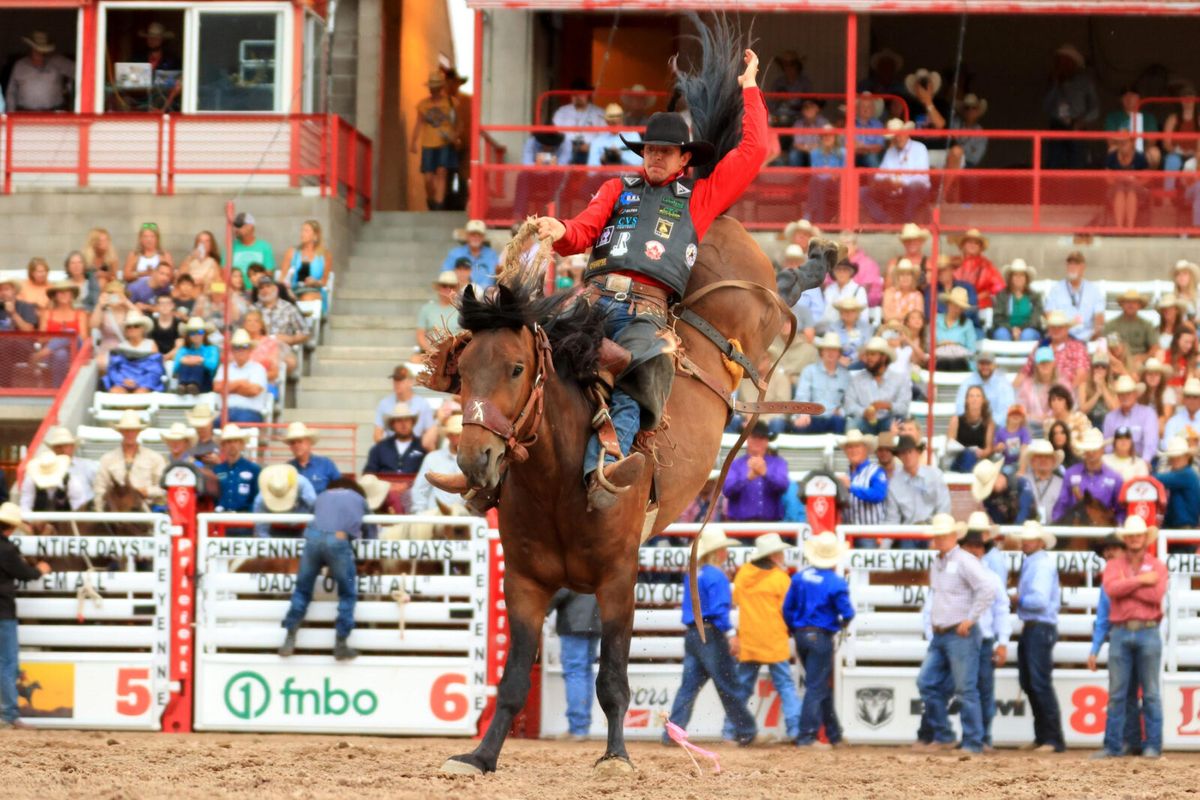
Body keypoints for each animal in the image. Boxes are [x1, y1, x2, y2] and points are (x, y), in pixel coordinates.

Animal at [434, 217, 806, 777]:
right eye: (463, 372)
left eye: (517, 368)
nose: (476, 458)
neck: (557, 485)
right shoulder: (523, 583)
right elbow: (514, 679)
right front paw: (480, 756)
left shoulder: (617, 581)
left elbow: (611, 678)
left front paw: (615, 757)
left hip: (750, 307)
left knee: (780, 292)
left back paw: (817, 258)